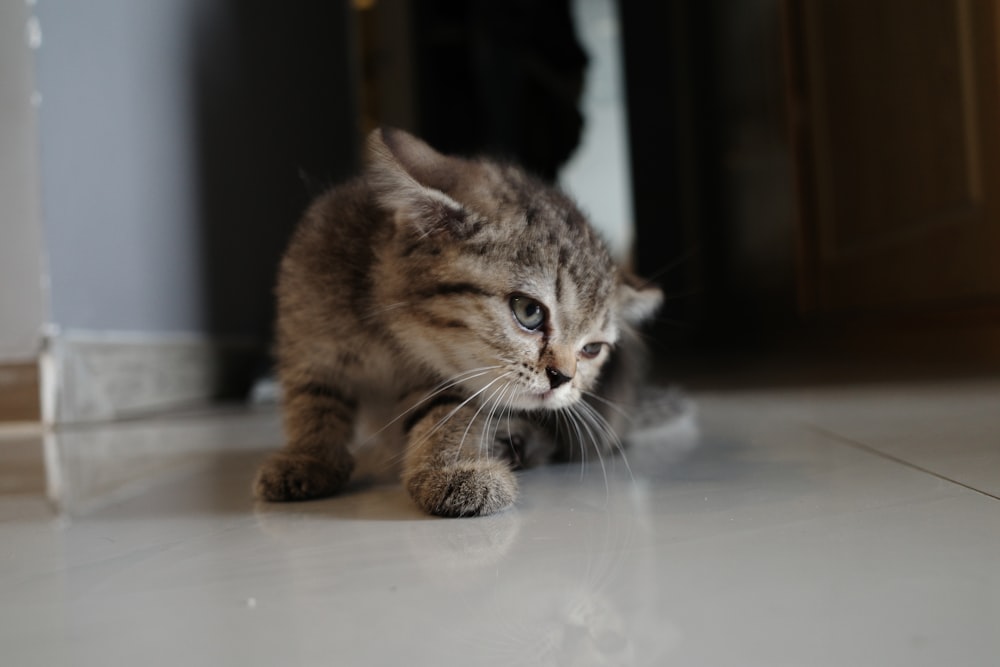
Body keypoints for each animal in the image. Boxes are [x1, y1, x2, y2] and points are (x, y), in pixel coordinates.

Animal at [254, 129, 664, 516]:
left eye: (592, 349)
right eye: (529, 312)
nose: (563, 378)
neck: (391, 340)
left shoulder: (458, 381)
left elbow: (446, 415)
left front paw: (451, 471)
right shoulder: (306, 334)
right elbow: (313, 400)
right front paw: (309, 458)